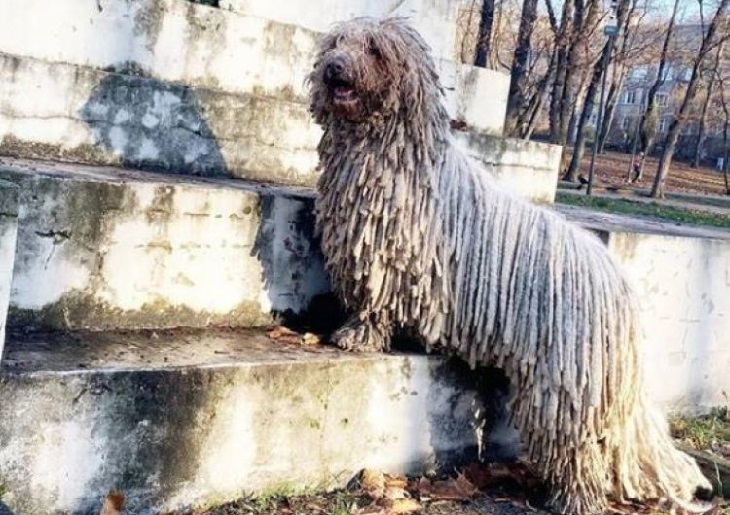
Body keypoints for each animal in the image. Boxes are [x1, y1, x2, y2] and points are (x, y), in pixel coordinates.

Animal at [306, 17, 704, 515]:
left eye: (374, 49)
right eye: (337, 43)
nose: (335, 67)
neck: (387, 154)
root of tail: (619, 287)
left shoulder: (385, 256)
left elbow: (372, 302)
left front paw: (356, 334)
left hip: (563, 381)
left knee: (575, 447)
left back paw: (573, 499)